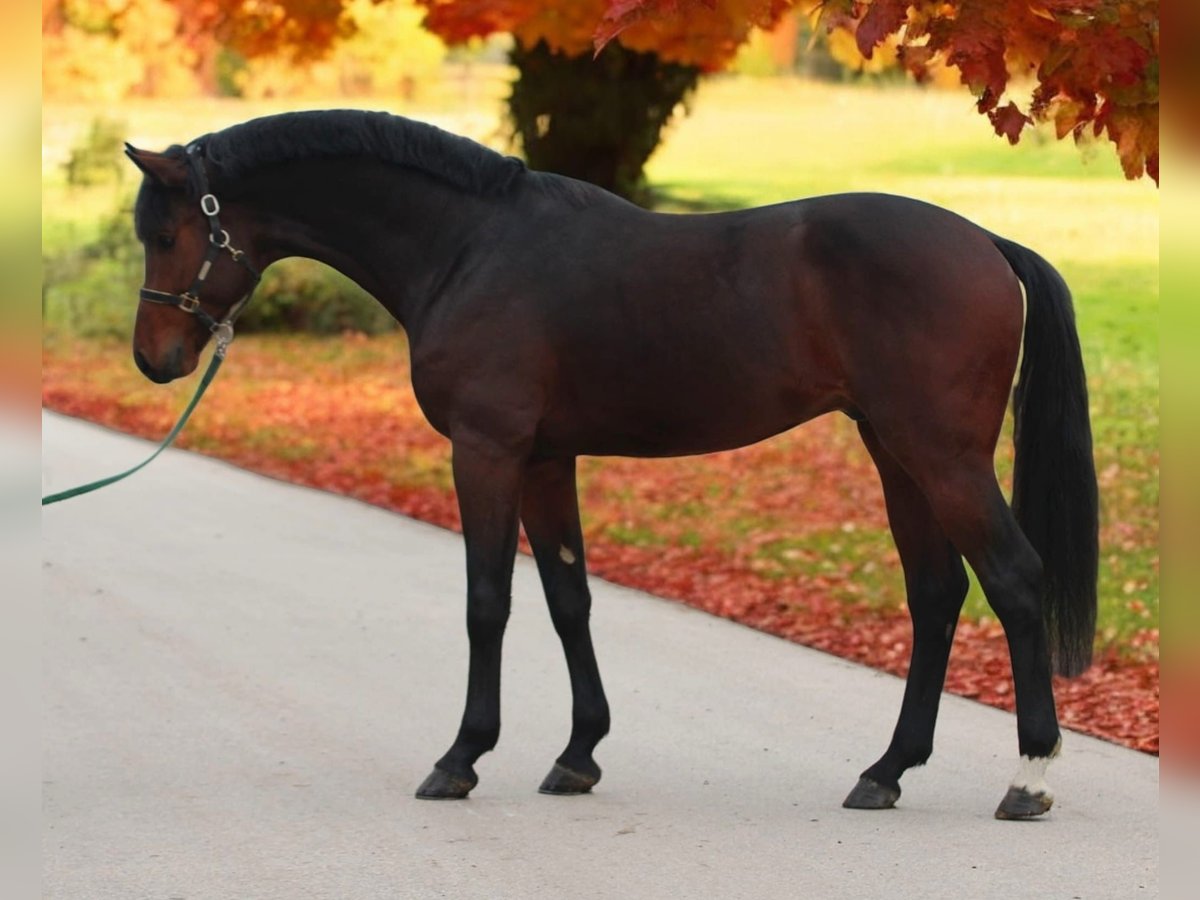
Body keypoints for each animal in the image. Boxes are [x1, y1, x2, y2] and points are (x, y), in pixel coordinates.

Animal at [124, 109, 1099, 820]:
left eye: (167, 235)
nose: (153, 360)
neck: (468, 247)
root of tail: (987, 243)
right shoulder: (548, 460)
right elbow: (568, 599)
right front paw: (578, 754)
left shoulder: (487, 450)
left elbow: (488, 602)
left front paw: (462, 757)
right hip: (895, 452)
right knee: (936, 595)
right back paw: (887, 771)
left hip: (943, 456)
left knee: (1015, 580)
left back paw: (1030, 779)